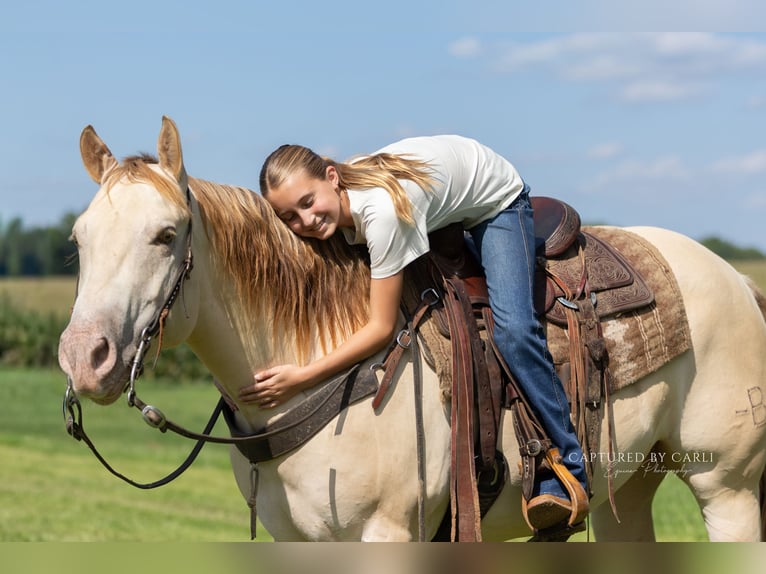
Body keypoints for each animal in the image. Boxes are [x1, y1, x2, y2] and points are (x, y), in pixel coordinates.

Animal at [59, 116, 766, 541]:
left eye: (165, 234)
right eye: (79, 238)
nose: (84, 358)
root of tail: (735, 279)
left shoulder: (388, 532)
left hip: (726, 487)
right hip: (633, 485)